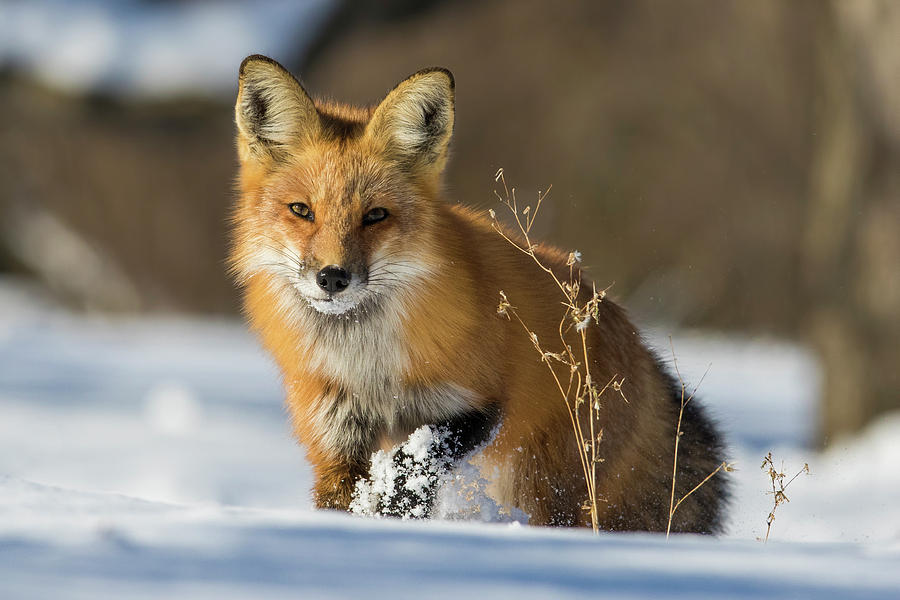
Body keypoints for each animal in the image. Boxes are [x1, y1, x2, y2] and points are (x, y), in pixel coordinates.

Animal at [229, 56, 728, 532]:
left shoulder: (477, 404)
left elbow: (415, 463)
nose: (332, 278)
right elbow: (347, 496)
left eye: (375, 215)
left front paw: (391, 504)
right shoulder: (334, 438)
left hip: (544, 486)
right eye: (301, 210)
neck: (369, 367)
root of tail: (628, 333)